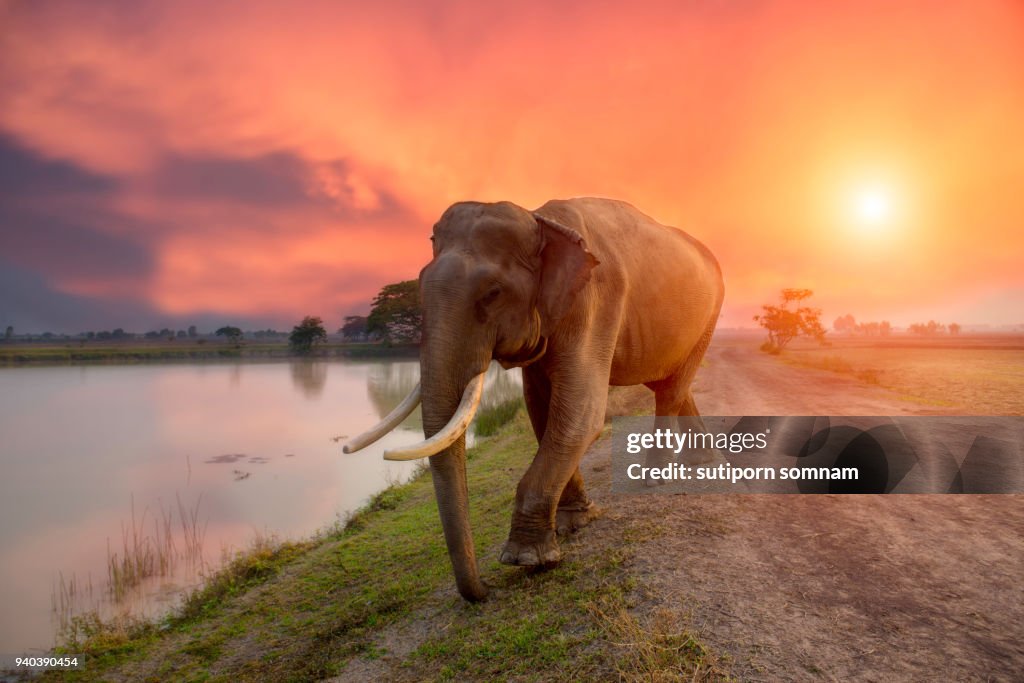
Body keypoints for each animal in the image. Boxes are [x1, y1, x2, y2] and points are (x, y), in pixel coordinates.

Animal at [345, 197, 724, 601]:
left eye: (492, 293)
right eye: (418, 285)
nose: (485, 590)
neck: (541, 220)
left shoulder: (595, 302)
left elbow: (580, 414)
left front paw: (527, 559)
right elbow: (541, 408)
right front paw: (575, 522)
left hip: (710, 313)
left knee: (670, 388)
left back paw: (656, 479)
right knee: (669, 382)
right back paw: (702, 459)